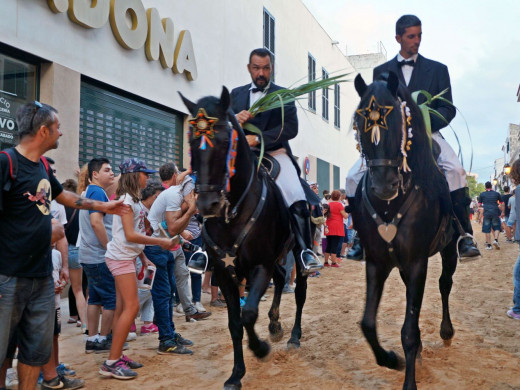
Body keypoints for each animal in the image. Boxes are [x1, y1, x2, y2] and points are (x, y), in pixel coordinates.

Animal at [181, 88, 312, 390]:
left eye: (223, 141)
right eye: (192, 141)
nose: (207, 204)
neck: (233, 213)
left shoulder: (259, 266)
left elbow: (249, 313)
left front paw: (261, 348)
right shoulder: (225, 272)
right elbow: (234, 323)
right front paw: (236, 374)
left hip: (297, 254)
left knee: (299, 291)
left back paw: (293, 336)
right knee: (281, 277)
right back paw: (275, 325)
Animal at [352, 71, 458, 388]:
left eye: (398, 120)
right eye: (360, 121)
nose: (383, 187)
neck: (390, 206)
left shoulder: (416, 262)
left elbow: (408, 332)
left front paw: (409, 378)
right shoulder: (377, 262)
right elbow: (367, 323)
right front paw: (390, 359)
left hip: (449, 251)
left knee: (445, 284)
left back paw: (446, 331)